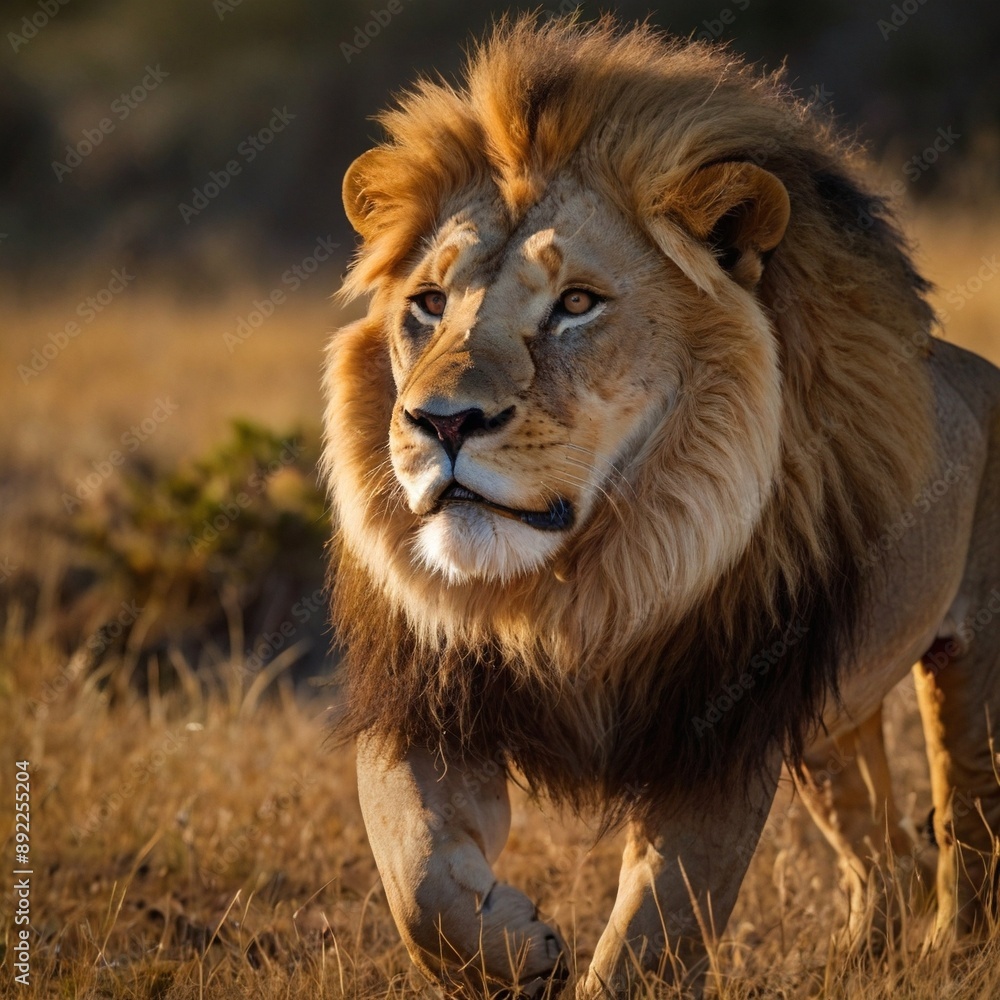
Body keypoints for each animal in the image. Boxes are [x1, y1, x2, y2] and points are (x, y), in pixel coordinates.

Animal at [322, 16, 1000, 997]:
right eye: (429, 303)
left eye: (575, 304)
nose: (442, 421)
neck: (575, 588)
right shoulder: (426, 693)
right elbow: (415, 873)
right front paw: (520, 953)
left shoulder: (714, 732)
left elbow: (658, 928)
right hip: (829, 723)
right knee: (878, 840)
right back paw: (867, 952)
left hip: (970, 660)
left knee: (966, 805)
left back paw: (957, 948)